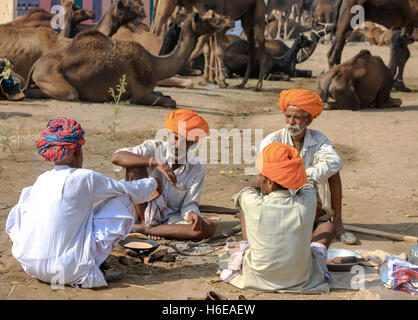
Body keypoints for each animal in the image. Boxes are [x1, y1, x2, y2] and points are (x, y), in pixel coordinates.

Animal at [23, 12, 232, 107]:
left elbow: (167, 96)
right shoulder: (140, 94)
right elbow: (171, 102)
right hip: (52, 77)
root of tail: (36, 66)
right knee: (70, 94)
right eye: (206, 19)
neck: (156, 65)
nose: (224, 22)